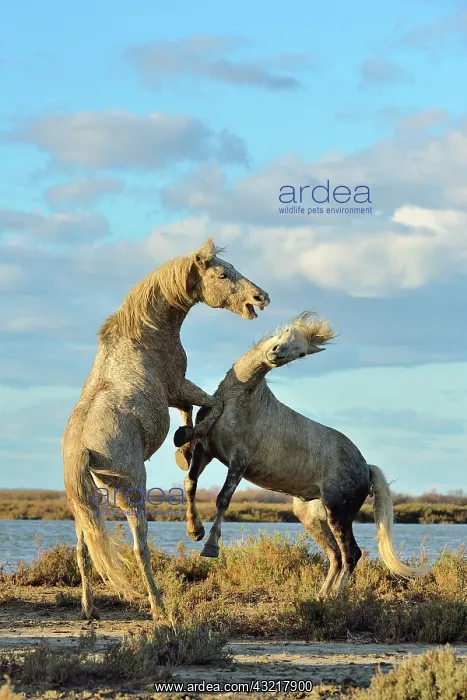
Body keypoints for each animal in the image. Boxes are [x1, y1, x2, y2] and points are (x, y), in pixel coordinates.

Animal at [62, 238, 270, 621]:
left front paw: (184, 446)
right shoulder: (178, 385)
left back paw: (90, 609)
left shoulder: (176, 394)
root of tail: (82, 449)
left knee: (83, 551)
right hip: (130, 492)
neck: (144, 334)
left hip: (85, 502)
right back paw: (158, 607)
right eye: (223, 274)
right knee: (139, 547)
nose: (260, 297)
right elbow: (208, 410)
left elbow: (192, 415)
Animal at [174, 312, 430, 600]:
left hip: (339, 513)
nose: (275, 353)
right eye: (286, 332)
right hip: (312, 517)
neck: (239, 400)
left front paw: (210, 547)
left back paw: (335, 599)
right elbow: (190, 484)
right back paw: (320, 597)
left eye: (302, 353)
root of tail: (366, 467)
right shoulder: (205, 450)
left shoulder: (239, 461)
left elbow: (222, 499)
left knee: (351, 554)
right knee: (335, 555)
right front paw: (194, 531)